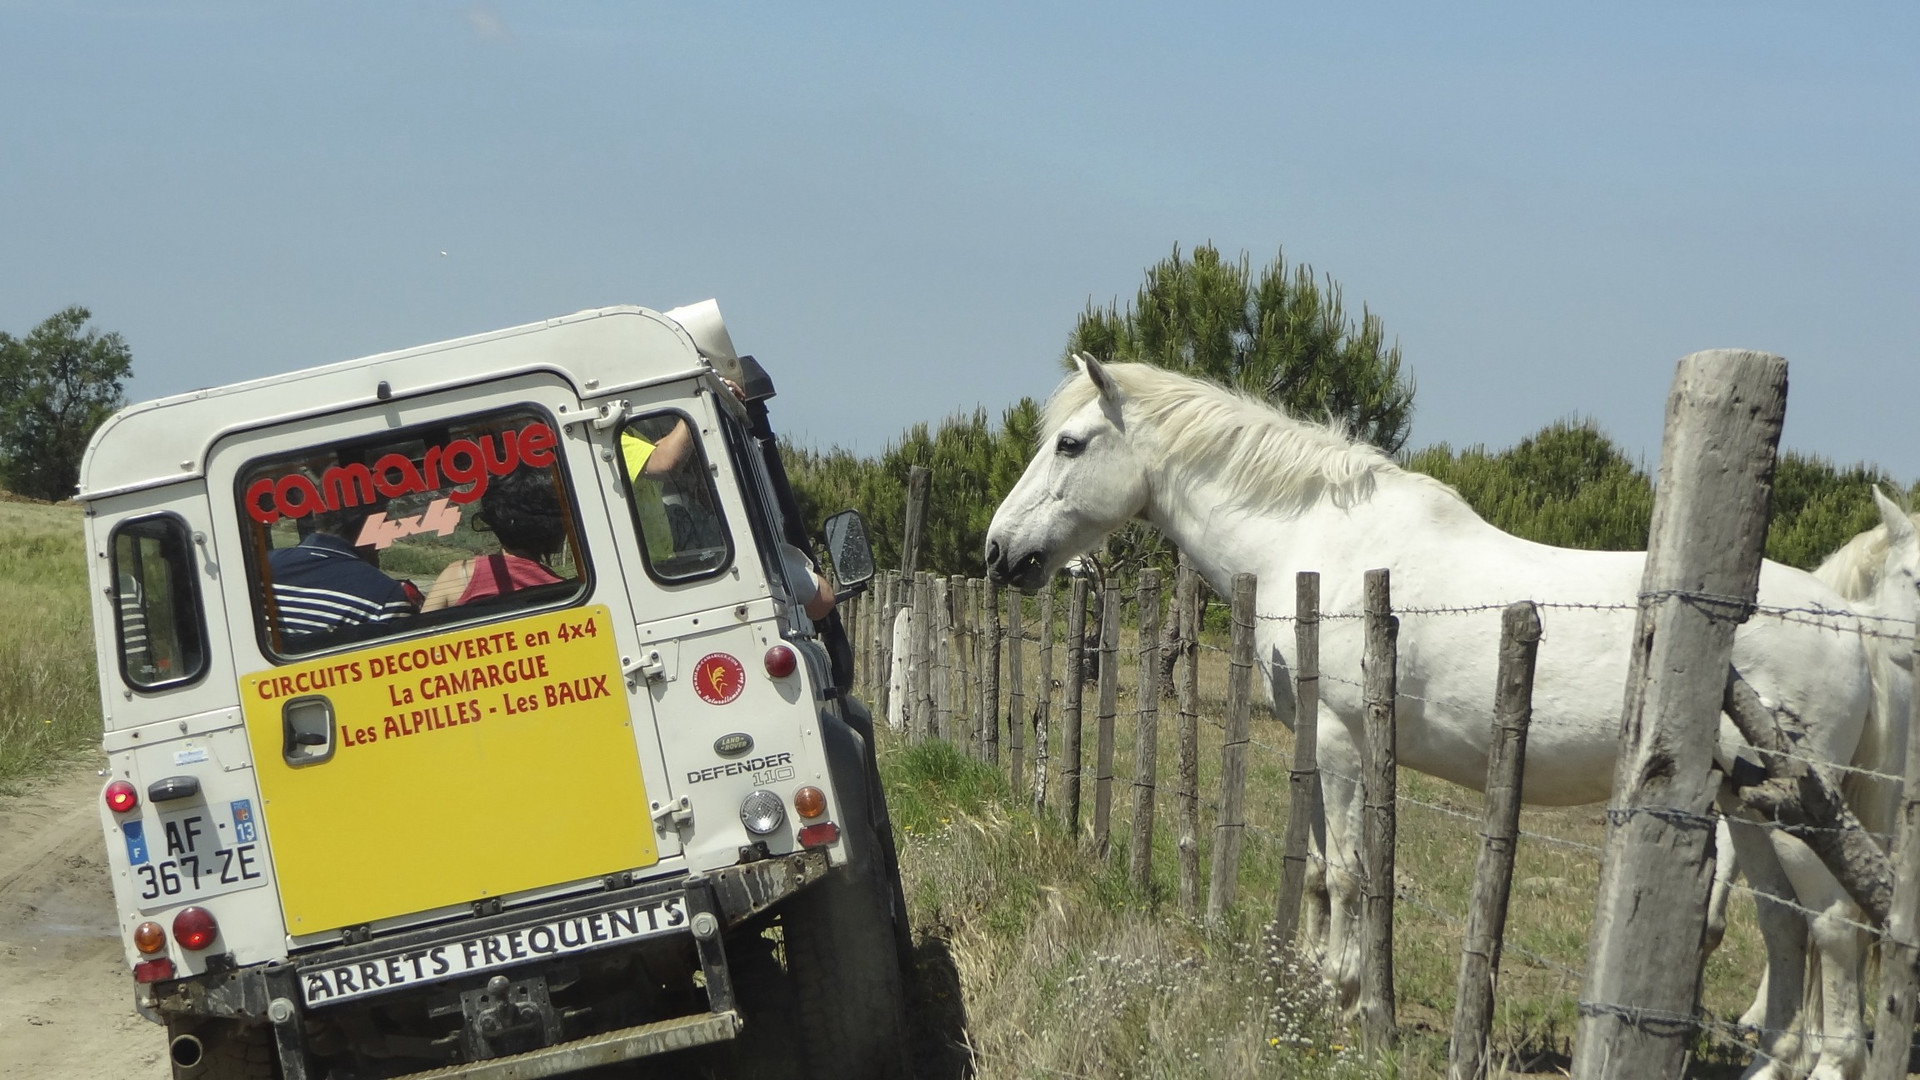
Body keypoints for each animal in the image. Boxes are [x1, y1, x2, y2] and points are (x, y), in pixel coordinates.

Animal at [998, 357, 1896, 1076]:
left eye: (1070, 444)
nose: (999, 552)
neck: (1320, 546)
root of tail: (1847, 622)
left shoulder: (1342, 741)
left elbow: (1350, 874)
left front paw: (1347, 1002)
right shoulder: (1321, 744)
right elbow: (1322, 871)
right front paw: (1317, 987)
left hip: (1801, 822)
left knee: (1835, 933)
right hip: (1747, 809)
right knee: (1785, 932)